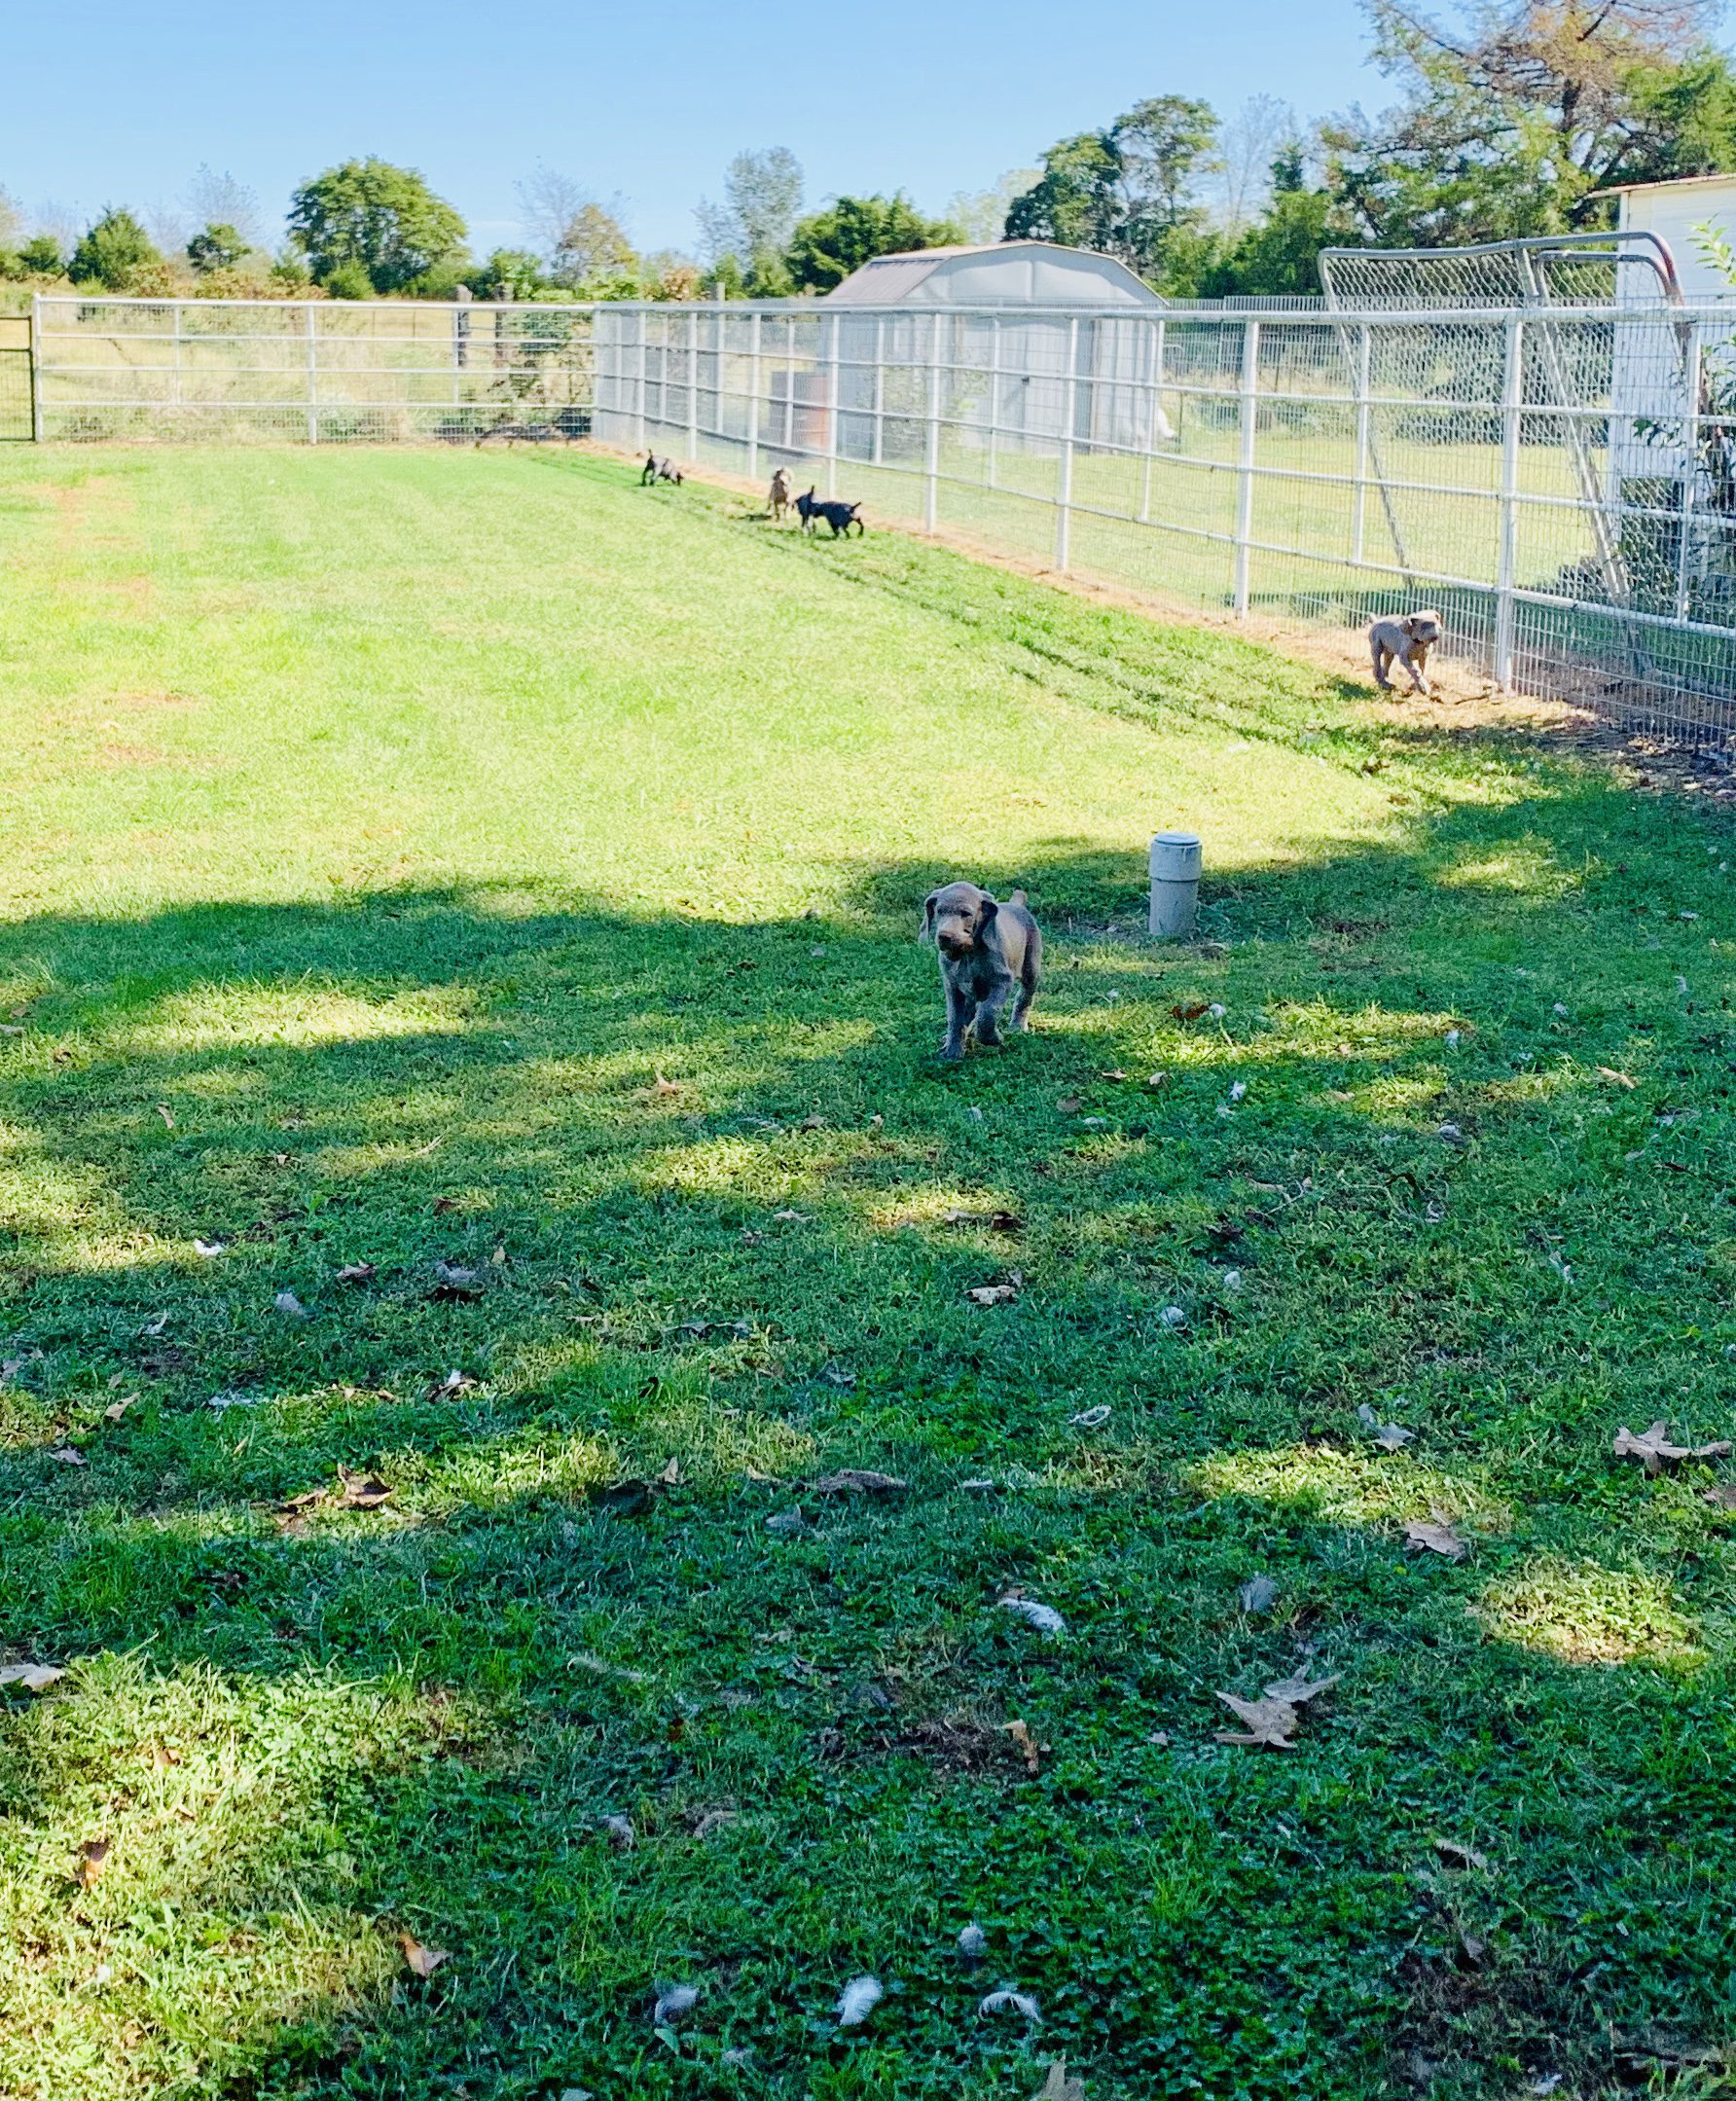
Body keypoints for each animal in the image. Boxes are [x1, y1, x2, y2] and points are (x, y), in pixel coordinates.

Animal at [920, 878, 1042, 1059]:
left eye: (966, 913)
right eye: (939, 911)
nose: (944, 936)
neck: (968, 955)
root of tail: (1017, 904)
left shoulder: (1002, 981)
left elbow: (988, 1012)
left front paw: (993, 1038)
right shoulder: (953, 986)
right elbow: (955, 1017)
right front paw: (953, 1051)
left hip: (1031, 967)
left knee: (1025, 996)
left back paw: (1017, 1026)